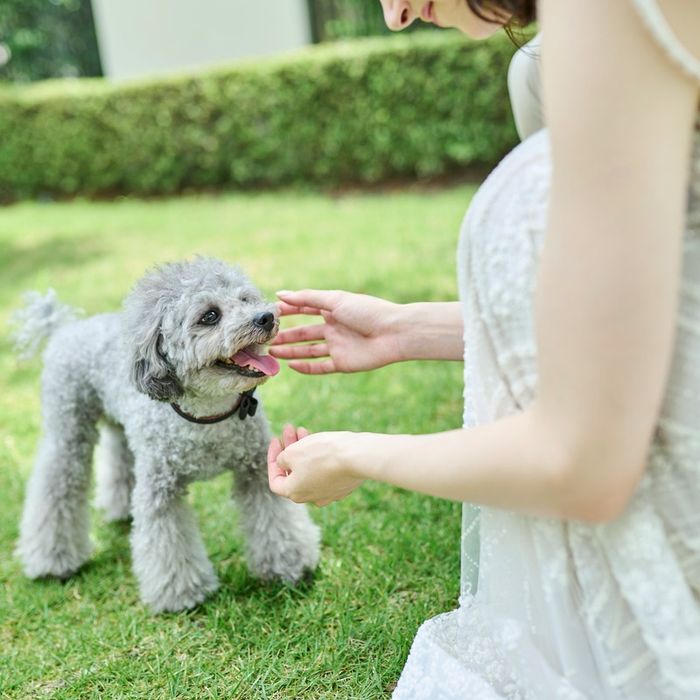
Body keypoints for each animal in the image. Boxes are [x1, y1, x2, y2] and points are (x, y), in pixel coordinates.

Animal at [11, 258, 322, 612]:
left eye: (246, 299)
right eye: (210, 315)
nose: (266, 317)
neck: (207, 416)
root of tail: (64, 328)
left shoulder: (256, 470)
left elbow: (276, 519)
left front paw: (290, 564)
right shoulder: (161, 491)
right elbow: (167, 542)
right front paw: (182, 595)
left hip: (122, 428)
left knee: (119, 458)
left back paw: (120, 509)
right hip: (68, 432)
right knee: (56, 488)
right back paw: (53, 561)